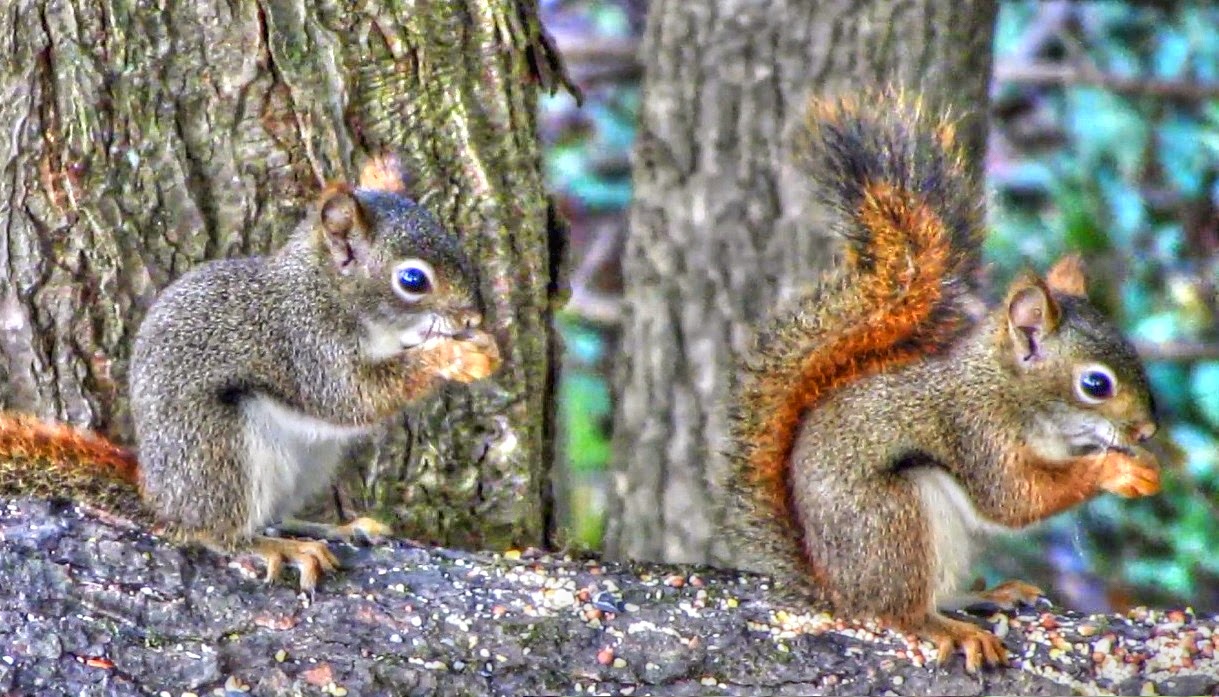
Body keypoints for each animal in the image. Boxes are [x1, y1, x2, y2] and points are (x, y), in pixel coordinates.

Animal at [0, 153, 502, 591]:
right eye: (413, 280)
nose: (474, 317)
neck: (326, 291)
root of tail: (160, 498)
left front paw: (482, 345)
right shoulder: (307, 344)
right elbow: (352, 396)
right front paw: (452, 357)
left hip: (310, 460)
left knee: (276, 514)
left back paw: (334, 528)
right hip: (220, 448)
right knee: (216, 531)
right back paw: (275, 546)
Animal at [722, 90, 1163, 673]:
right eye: (1095, 385)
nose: (1148, 431)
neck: (1004, 390)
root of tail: (835, 587)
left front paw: (1142, 464)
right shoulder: (977, 432)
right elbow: (1014, 498)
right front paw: (1116, 469)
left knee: (939, 591)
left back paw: (986, 595)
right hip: (895, 519)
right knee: (902, 610)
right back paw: (948, 628)